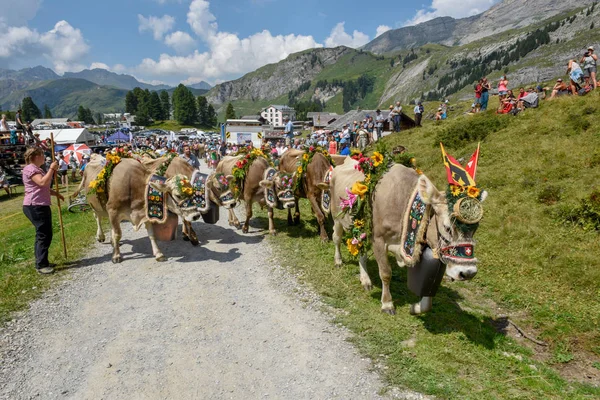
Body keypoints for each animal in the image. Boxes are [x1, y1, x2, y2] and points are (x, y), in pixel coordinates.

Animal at [318, 145, 488, 316]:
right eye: (447, 227)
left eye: (476, 229)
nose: (468, 272)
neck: (404, 205)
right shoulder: (378, 240)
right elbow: (386, 273)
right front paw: (387, 304)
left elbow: (427, 292)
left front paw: (416, 308)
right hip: (337, 217)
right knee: (337, 238)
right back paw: (338, 261)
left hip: (362, 229)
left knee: (361, 252)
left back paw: (365, 280)